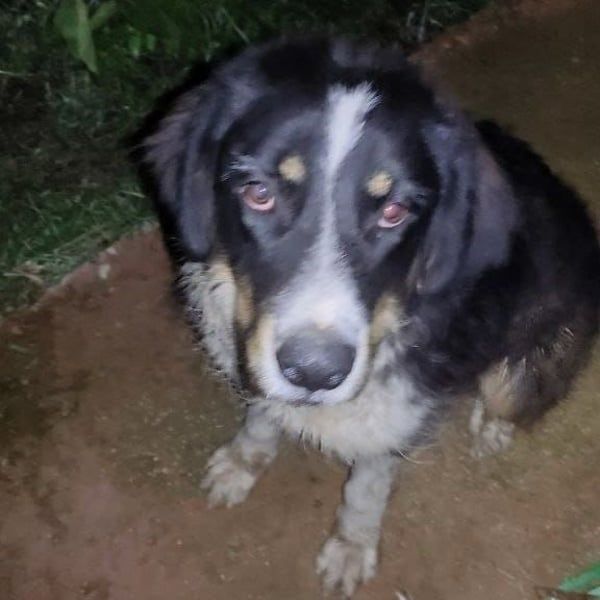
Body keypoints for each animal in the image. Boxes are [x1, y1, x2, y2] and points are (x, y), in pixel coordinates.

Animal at [139, 38, 600, 596]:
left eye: (394, 211)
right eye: (258, 193)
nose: (314, 372)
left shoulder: (399, 411)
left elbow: (367, 485)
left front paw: (351, 548)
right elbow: (262, 416)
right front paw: (242, 462)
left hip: (523, 365)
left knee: (510, 393)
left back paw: (492, 425)